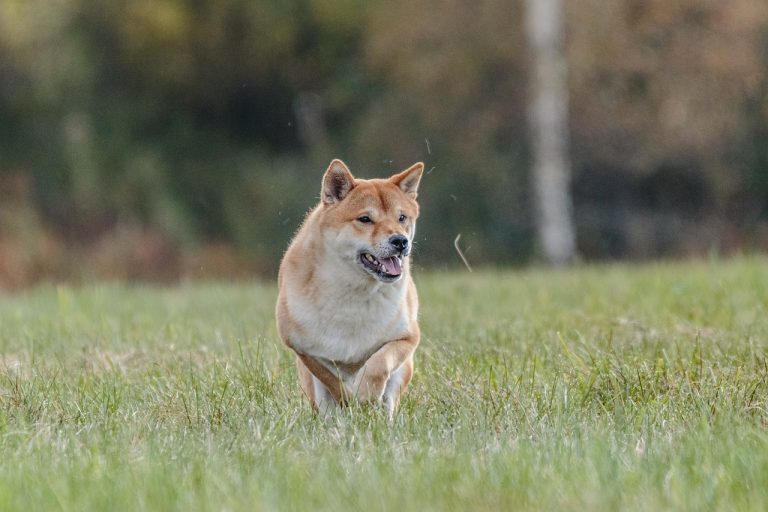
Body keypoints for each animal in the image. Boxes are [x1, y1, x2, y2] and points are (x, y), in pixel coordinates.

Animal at [276, 158, 424, 418]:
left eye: (402, 217)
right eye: (365, 219)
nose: (400, 241)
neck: (353, 291)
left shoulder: (407, 337)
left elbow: (379, 363)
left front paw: (366, 395)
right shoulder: (303, 348)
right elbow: (331, 379)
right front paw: (349, 401)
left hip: (404, 371)